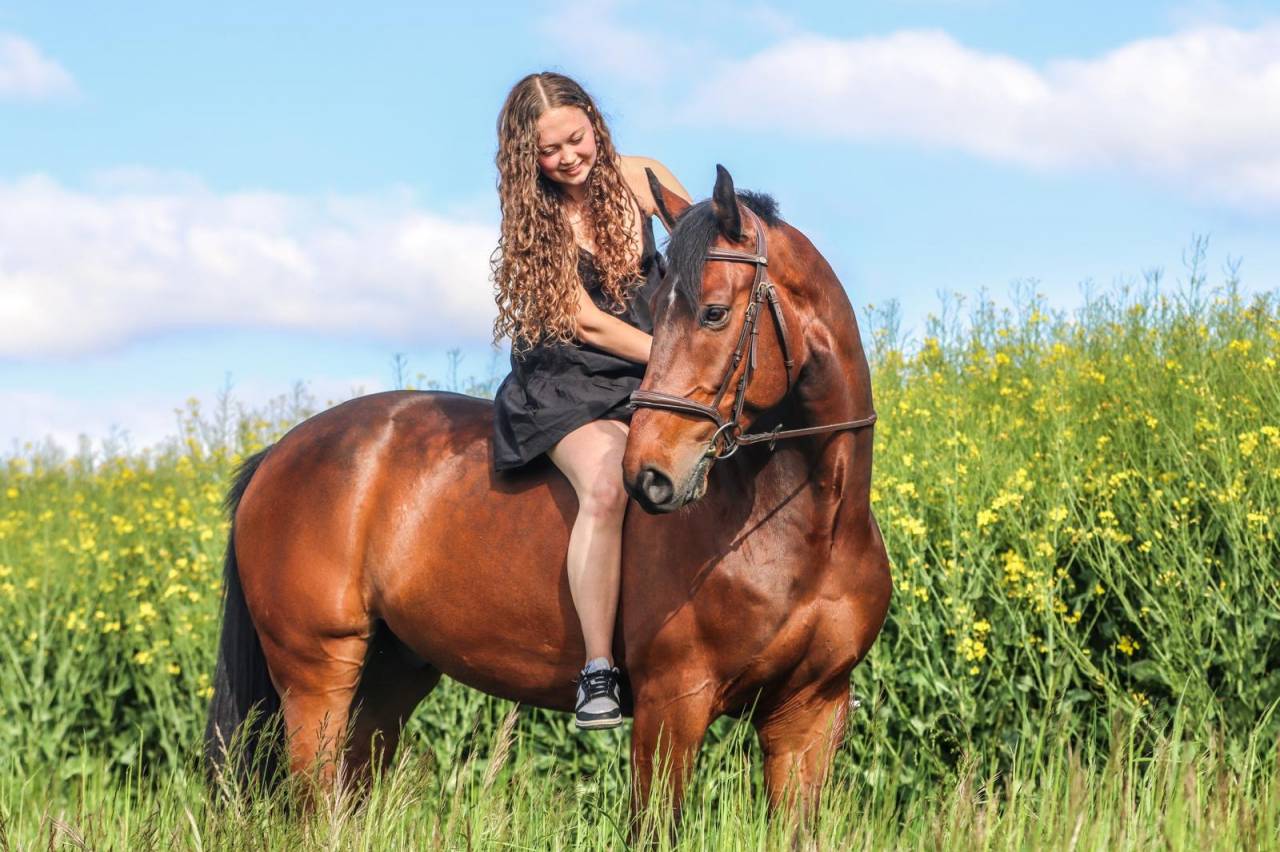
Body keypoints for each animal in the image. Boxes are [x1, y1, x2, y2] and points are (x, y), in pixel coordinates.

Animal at [204, 164, 891, 826]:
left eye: (714, 313)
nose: (649, 476)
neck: (808, 527)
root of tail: (278, 453)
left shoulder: (808, 714)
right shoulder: (674, 703)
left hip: (388, 679)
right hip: (316, 676)